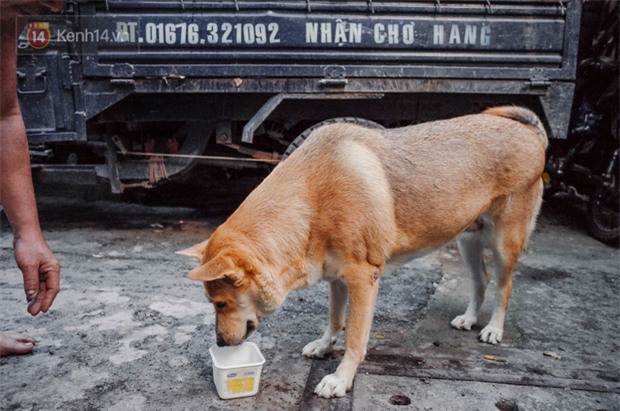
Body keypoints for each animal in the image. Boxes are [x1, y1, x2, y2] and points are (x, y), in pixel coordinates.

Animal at [177, 107, 544, 400]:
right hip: (467, 242)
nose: (220, 344)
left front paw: (341, 378)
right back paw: (469, 318)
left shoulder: (363, 280)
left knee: (504, 286)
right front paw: (325, 346)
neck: (312, 199)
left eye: (220, 304)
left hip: (503, 245)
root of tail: (529, 131)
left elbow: (354, 338)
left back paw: (494, 328)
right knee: (480, 282)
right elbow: (335, 319)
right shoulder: (337, 279)